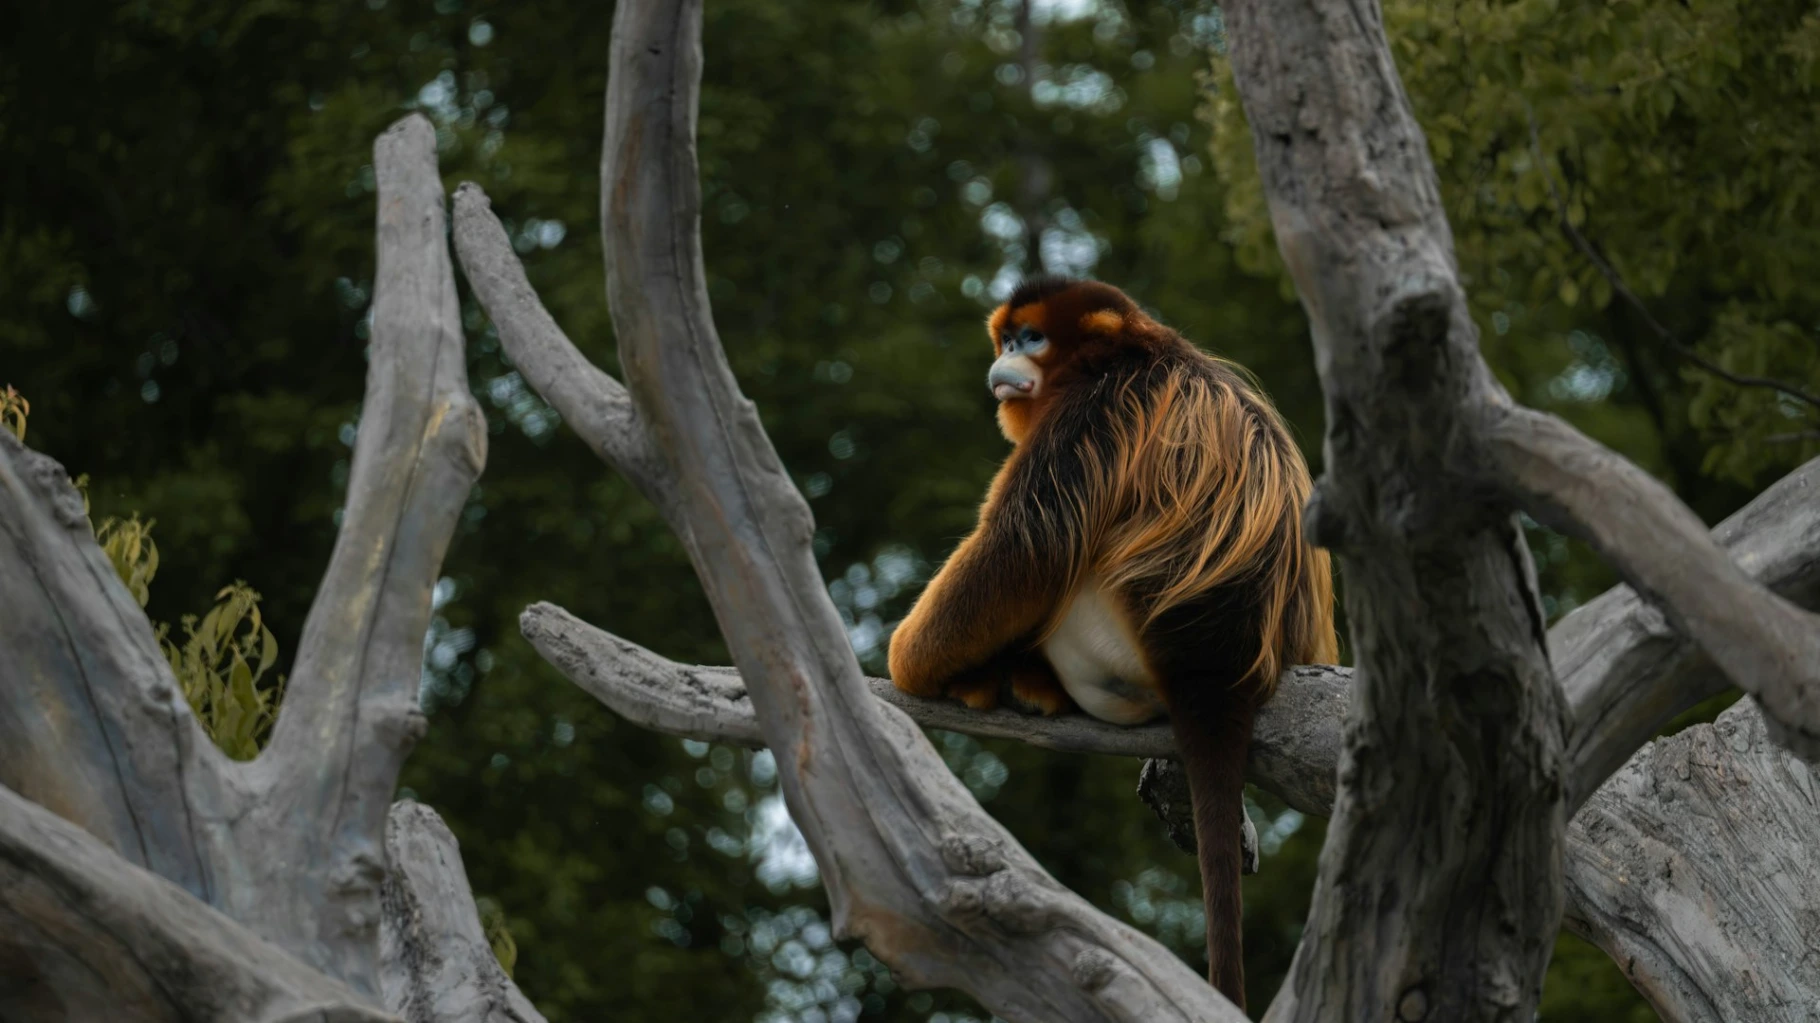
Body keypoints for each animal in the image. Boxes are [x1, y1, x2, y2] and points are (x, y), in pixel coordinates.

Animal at [887, 275, 1337, 1010]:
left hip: (1111, 641)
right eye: (1006, 340)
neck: (1140, 350)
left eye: (1031, 338)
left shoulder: (1094, 408)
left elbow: (1023, 545)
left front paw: (909, 663)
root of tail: (1221, 671)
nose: (1007, 358)